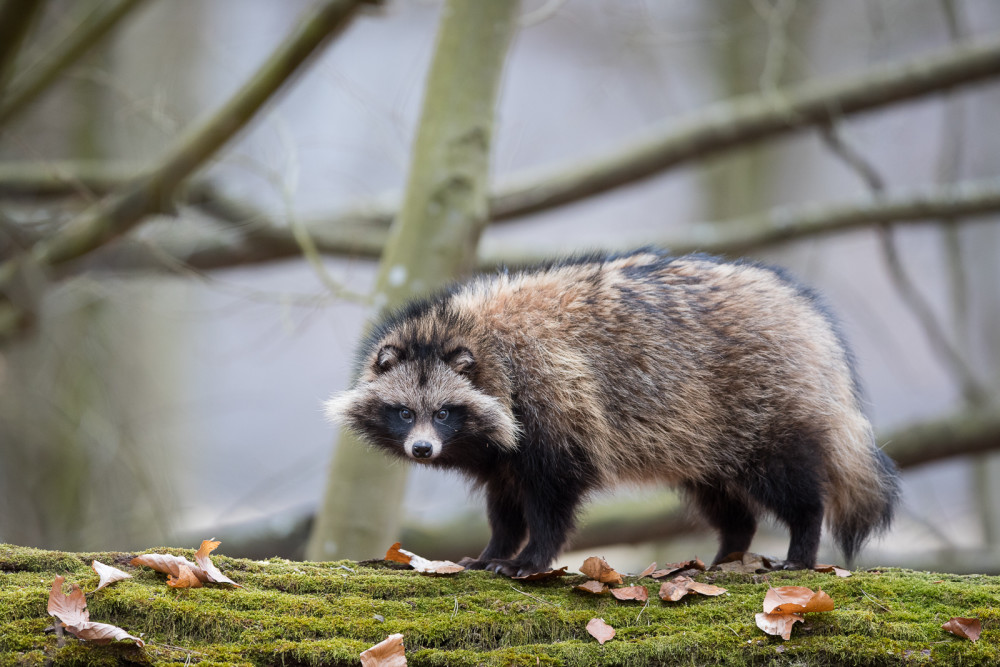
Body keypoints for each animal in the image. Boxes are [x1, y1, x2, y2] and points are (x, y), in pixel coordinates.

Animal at [326, 248, 900, 576]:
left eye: (443, 413)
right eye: (405, 413)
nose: (422, 448)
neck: (467, 332)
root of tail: (807, 317)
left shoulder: (556, 399)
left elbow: (553, 494)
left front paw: (531, 558)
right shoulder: (503, 451)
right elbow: (504, 503)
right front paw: (495, 549)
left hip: (763, 403)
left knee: (791, 480)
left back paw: (802, 542)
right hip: (702, 433)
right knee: (723, 498)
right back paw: (730, 551)